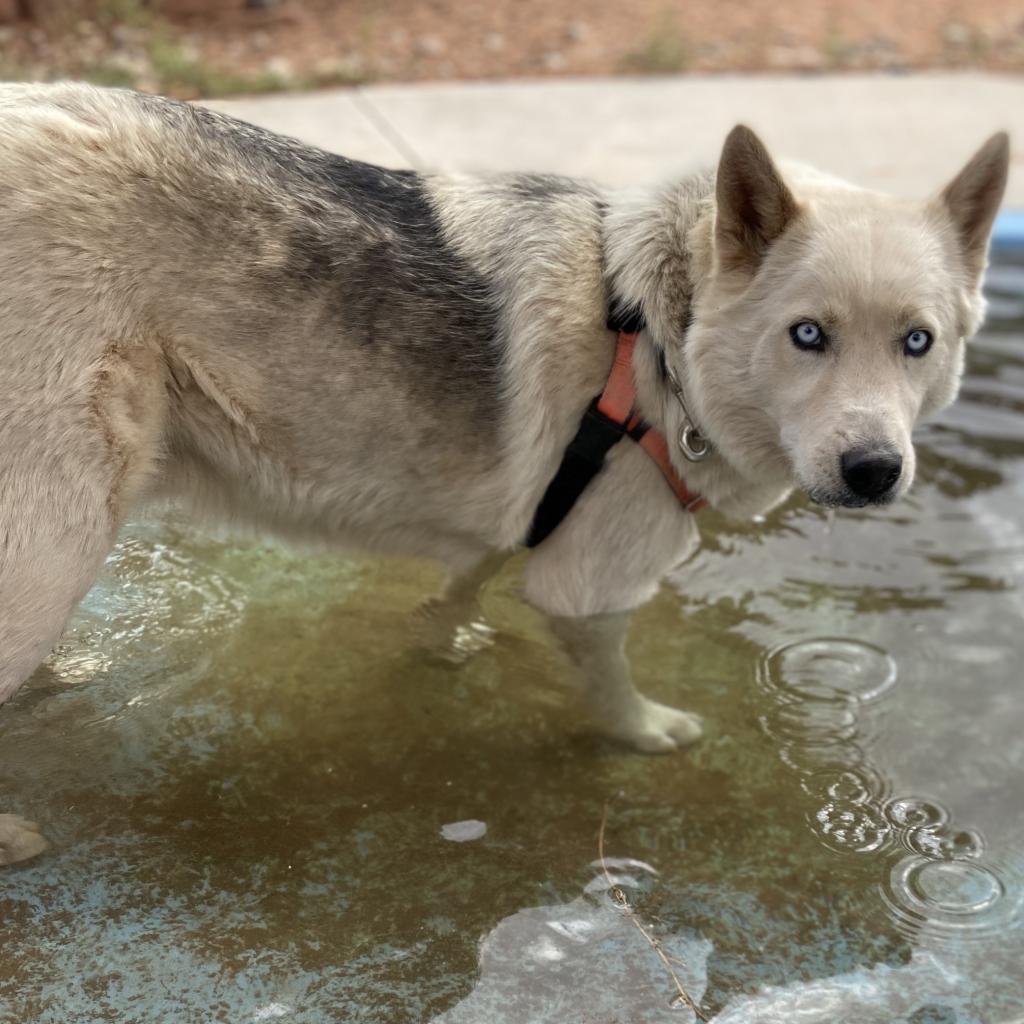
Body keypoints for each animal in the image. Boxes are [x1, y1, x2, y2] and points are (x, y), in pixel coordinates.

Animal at [0, 83, 1007, 770]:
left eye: (917, 342)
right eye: (808, 336)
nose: (875, 470)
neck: (657, 340)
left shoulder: (517, 521)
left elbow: (458, 588)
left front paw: (440, 643)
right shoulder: (589, 589)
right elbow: (610, 687)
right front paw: (647, 733)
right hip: (58, 535)